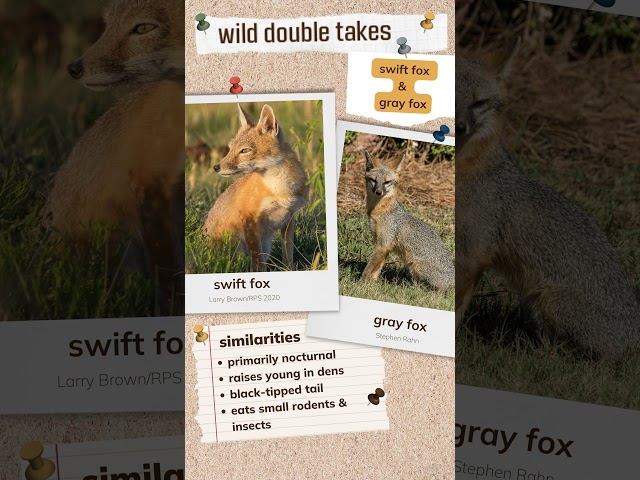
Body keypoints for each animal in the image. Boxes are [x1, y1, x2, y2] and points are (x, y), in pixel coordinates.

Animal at [203, 105, 309, 272]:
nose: (216, 167)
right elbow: (257, 260)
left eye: (244, 150)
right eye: (230, 148)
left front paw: (288, 270)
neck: (279, 189)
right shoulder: (249, 217)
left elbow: (288, 253)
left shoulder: (289, 217)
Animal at [362, 151, 454, 291]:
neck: (379, 211)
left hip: (415, 266)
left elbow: (368, 269)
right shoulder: (383, 246)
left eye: (387, 182)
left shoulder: (383, 245)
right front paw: (371, 284)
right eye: (374, 180)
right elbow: (376, 270)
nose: (378, 192)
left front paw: (359, 284)